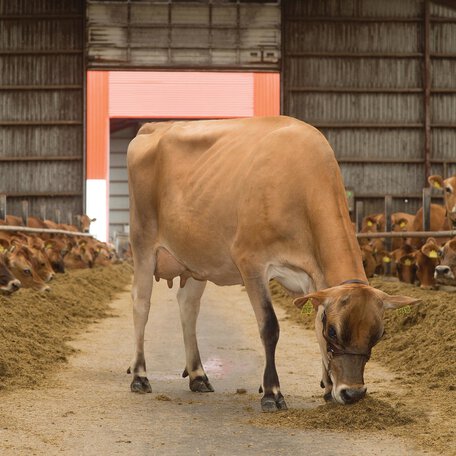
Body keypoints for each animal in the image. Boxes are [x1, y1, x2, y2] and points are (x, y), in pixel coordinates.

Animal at [126, 117, 418, 410]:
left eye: (378, 335)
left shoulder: (314, 279)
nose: (353, 393)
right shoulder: (251, 262)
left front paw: (327, 387)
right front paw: (272, 392)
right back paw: (139, 376)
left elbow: (314, 325)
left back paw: (198, 376)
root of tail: (153, 126)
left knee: (188, 307)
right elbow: (269, 326)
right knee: (141, 304)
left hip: (197, 260)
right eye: (334, 332)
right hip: (143, 243)